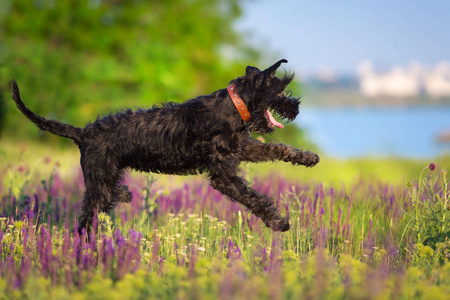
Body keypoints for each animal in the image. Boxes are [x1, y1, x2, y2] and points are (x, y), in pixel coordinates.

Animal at [11, 58, 320, 232]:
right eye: (281, 90)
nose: (296, 107)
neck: (235, 106)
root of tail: (83, 133)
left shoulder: (240, 148)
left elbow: (277, 149)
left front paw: (309, 158)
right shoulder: (223, 175)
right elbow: (254, 197)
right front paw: (279, 223)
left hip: (103, 178)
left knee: (99, 203)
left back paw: (120, 199)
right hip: (98, 180)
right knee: (89, 215)